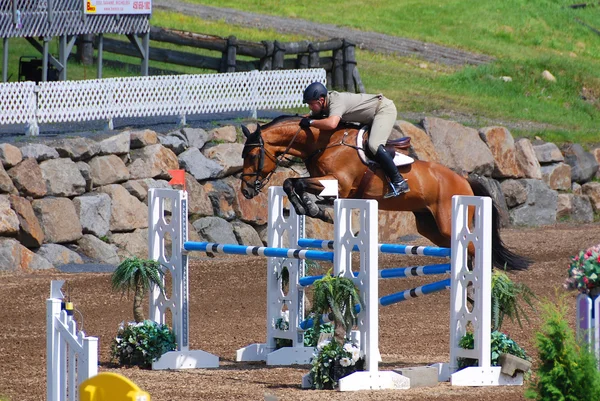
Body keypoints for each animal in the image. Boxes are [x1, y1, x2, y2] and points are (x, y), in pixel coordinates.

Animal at [239, 115, 528, 272]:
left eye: (252, 155)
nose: (245, 190)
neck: (323, 142)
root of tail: (464, 180)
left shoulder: (338, 184)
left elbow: (294, 183)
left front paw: (312, 209)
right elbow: (291, 184)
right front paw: (311, 209)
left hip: (448, 222)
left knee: (475, 249)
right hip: (431, 227)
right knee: (464, 250)